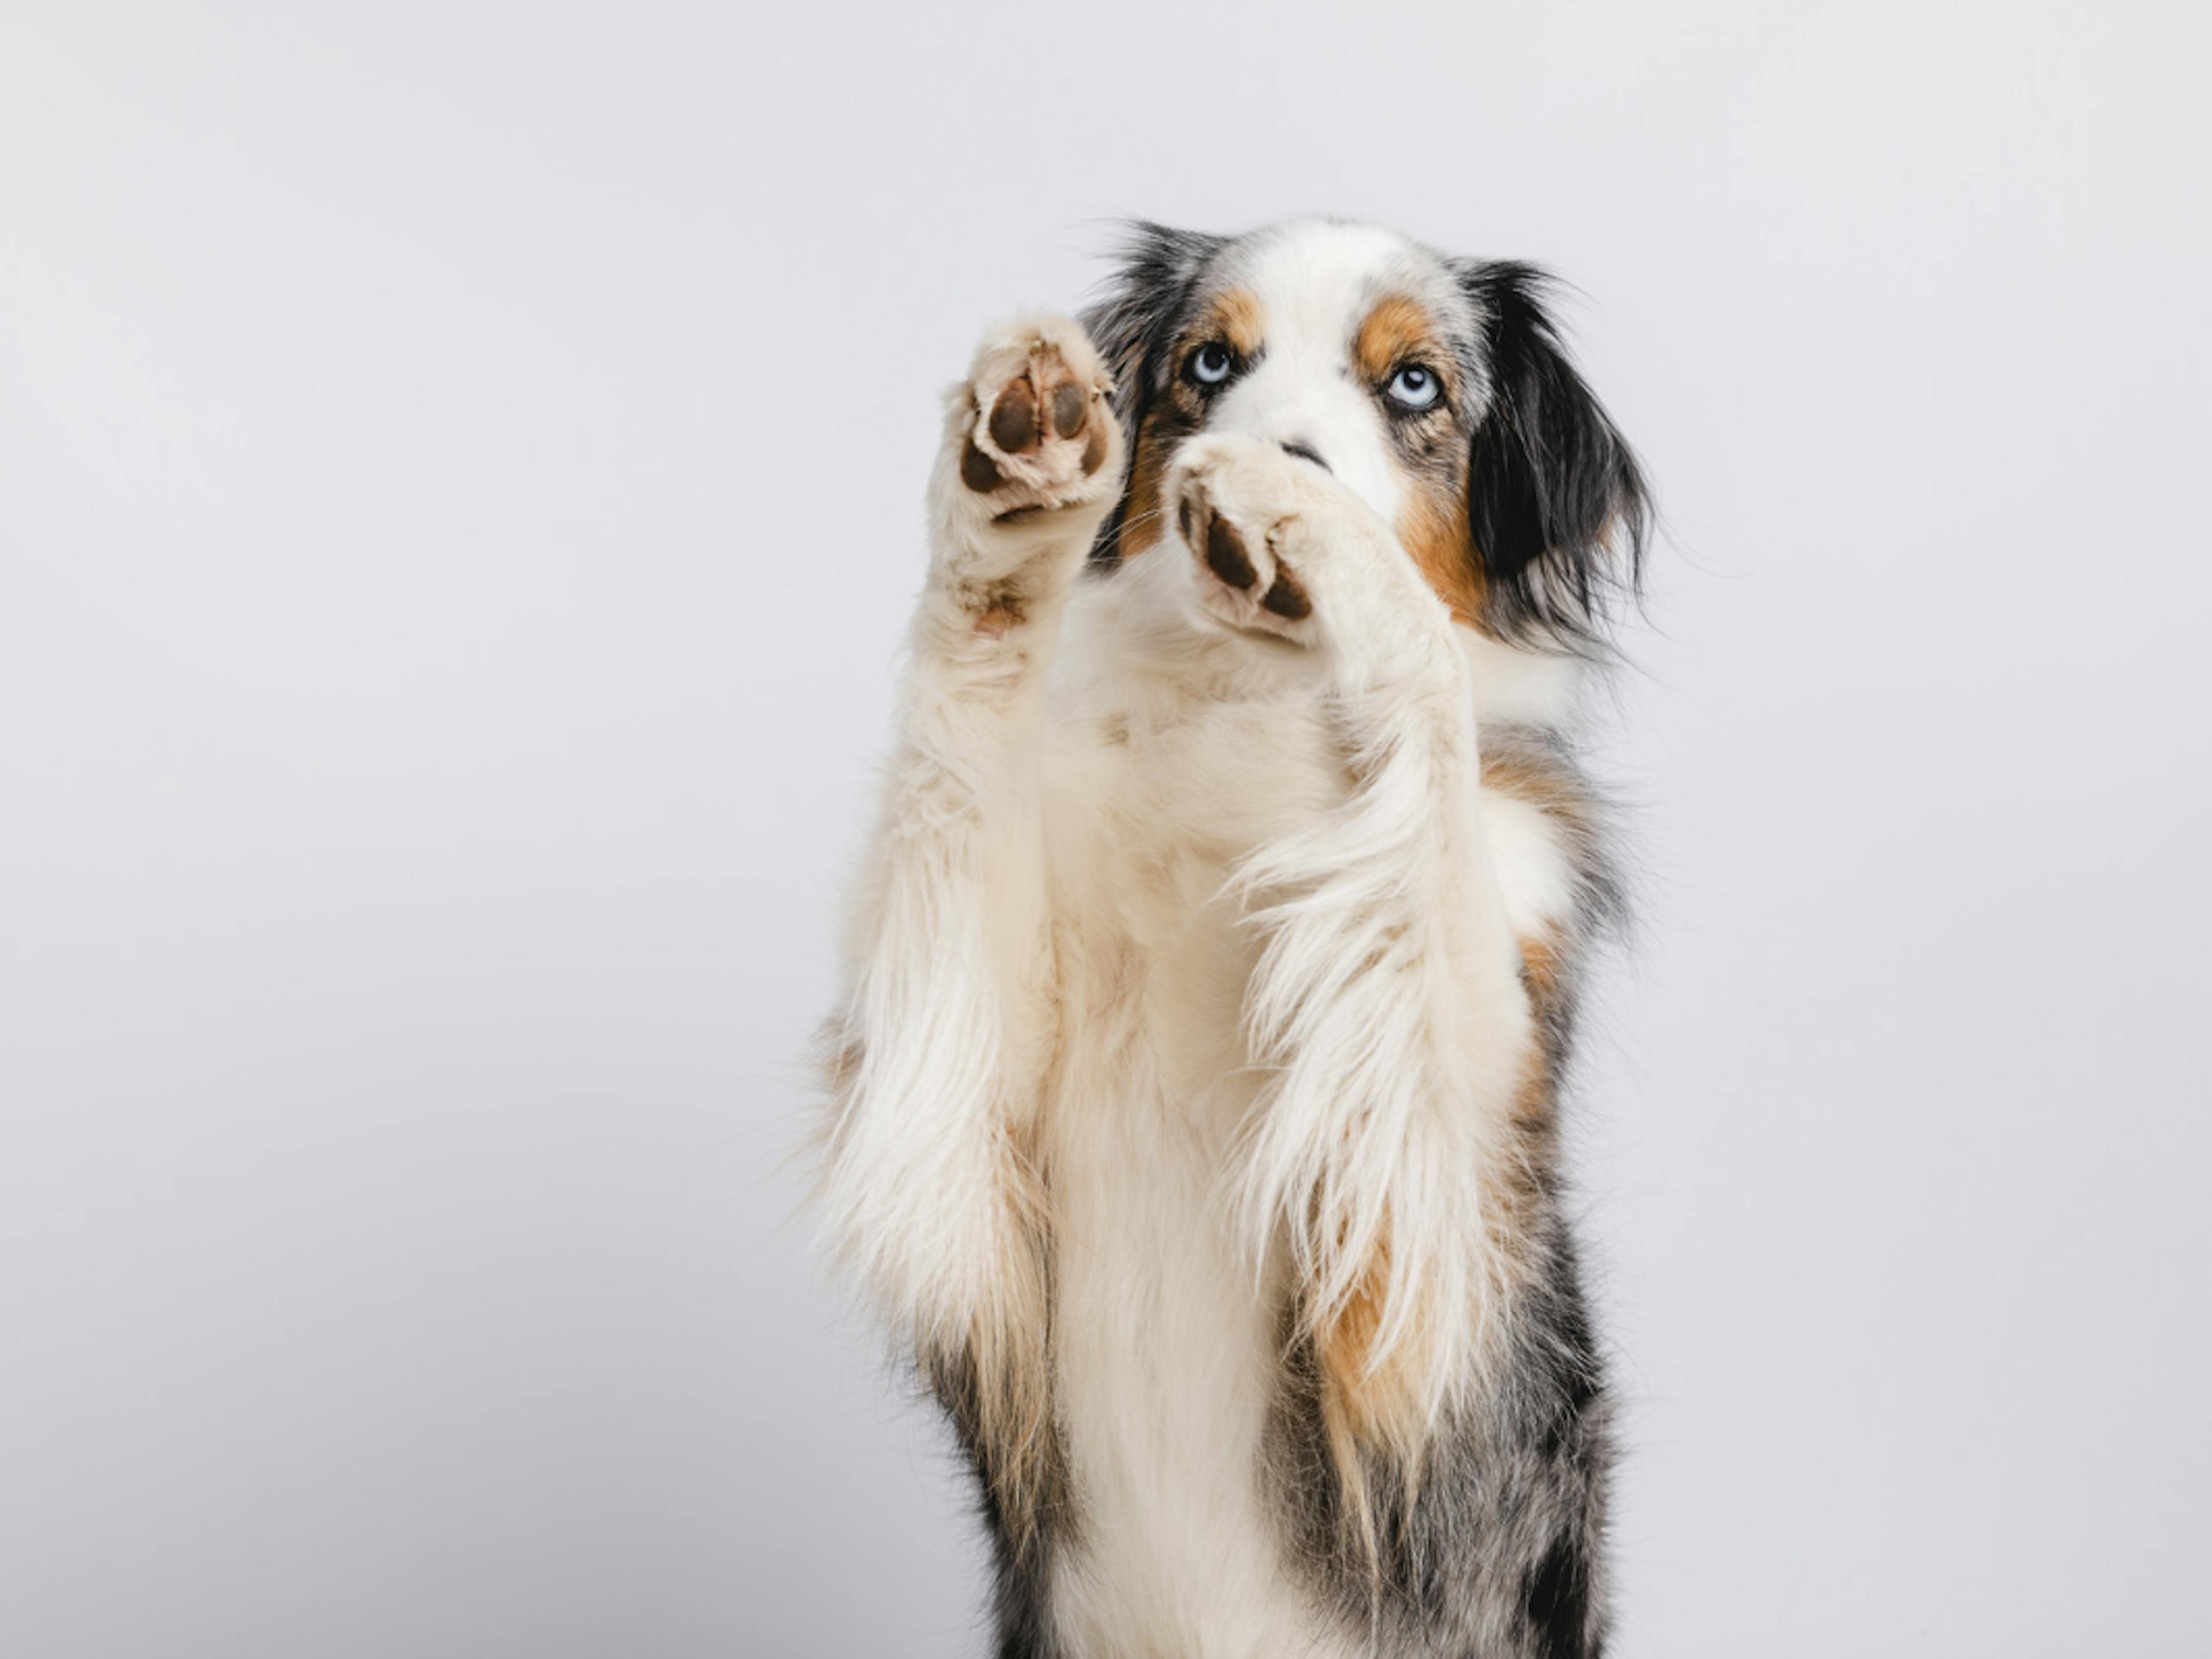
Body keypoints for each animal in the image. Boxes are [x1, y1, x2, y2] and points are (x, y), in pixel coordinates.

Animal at [814, 221, 1645, 1659]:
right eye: (1210, 363)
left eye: (1415, 384)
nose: (1281, 457)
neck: (1248, 706)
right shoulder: (967, 1114)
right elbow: (964, 747)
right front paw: (1013, 475)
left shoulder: (1451, 1176)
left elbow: (1430, 772)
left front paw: (1309, 522)